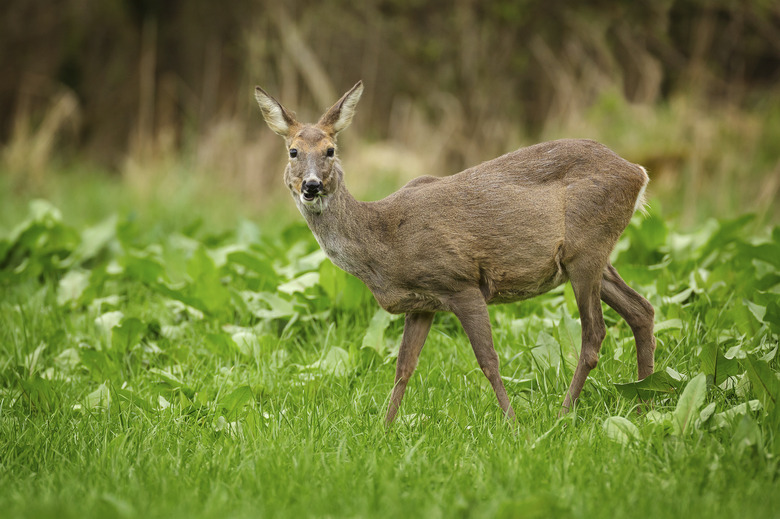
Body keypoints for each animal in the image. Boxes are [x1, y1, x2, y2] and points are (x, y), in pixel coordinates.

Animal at [254, 80, 652, 422]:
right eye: (293, 151)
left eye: (330, 150)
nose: (311, 185)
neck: (384, 242)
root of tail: (639, 172)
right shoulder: (422, 303)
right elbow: (403, 368)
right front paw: (385, 428)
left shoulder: (460, 281)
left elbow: (488, 360)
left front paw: (512, 423)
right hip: (590, 257)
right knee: (641, 310)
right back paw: (645, 403)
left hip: (586, 247)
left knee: (595, 333)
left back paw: (564, 413)